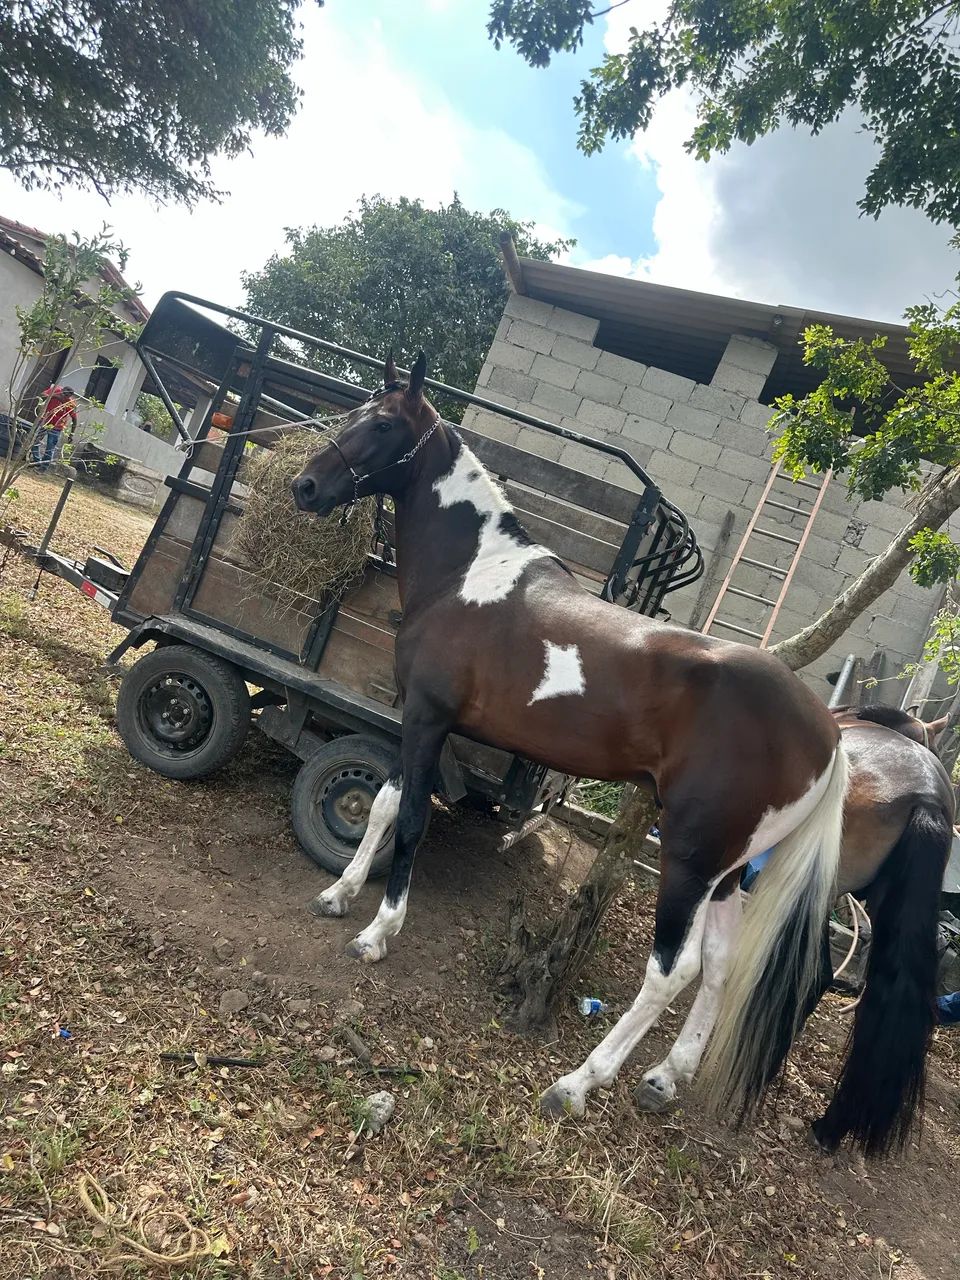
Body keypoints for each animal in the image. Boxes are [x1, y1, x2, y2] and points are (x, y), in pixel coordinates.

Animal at [293, 353, 858, 1145]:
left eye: (380, 425)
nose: (305, 487)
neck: (472, 573)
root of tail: (827, 730)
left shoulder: (428, 721)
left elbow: (410, 821)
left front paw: (378, 931)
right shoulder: (418, 725)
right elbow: (381, 805)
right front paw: (340, 894)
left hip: (690, 857)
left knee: (673, 970)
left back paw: (578, 1084)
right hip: (728, 869)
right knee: (718, 963)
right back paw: (665, 1078)